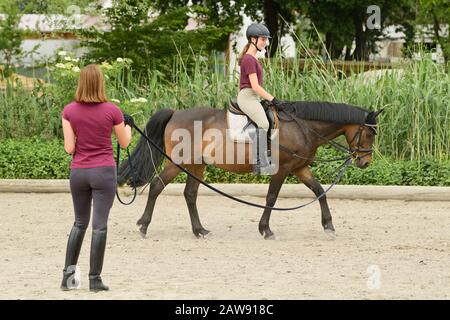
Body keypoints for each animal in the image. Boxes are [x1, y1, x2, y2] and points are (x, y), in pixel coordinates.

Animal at [117, 101, 384, 239]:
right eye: (369, 134)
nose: (365, 162)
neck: (303, 127)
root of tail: (175, 113)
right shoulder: (282, 169)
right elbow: (272, 197)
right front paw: (265, 229)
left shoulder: (300, 168)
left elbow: (319, 191)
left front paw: (328, 225)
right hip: (178, 163)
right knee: (156, 186)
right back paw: (143, 225)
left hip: (196, 166)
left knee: (190, 194)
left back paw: (199, 230)